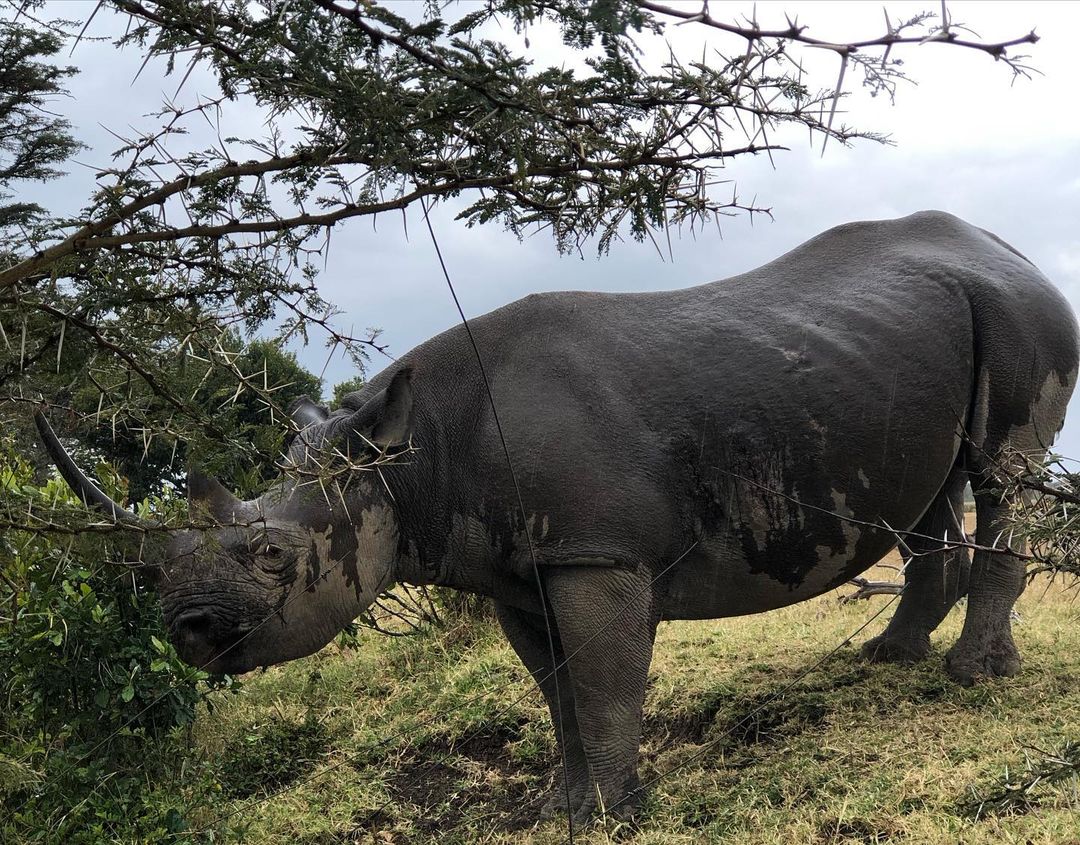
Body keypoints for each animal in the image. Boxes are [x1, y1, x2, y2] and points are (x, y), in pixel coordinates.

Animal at [37, 211, 1078, 823]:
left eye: (269, 553)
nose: (187, 627)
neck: (411, 458)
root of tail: (1012, 250)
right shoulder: (514, 567)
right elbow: (559, 689)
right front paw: (558, 807)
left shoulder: (594, 552)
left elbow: (605, 678)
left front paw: (609, 815)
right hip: (919, 335)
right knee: (937, 487)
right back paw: (887, 659)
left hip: (1019, 312)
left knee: (1003, 468)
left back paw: (971, 677)